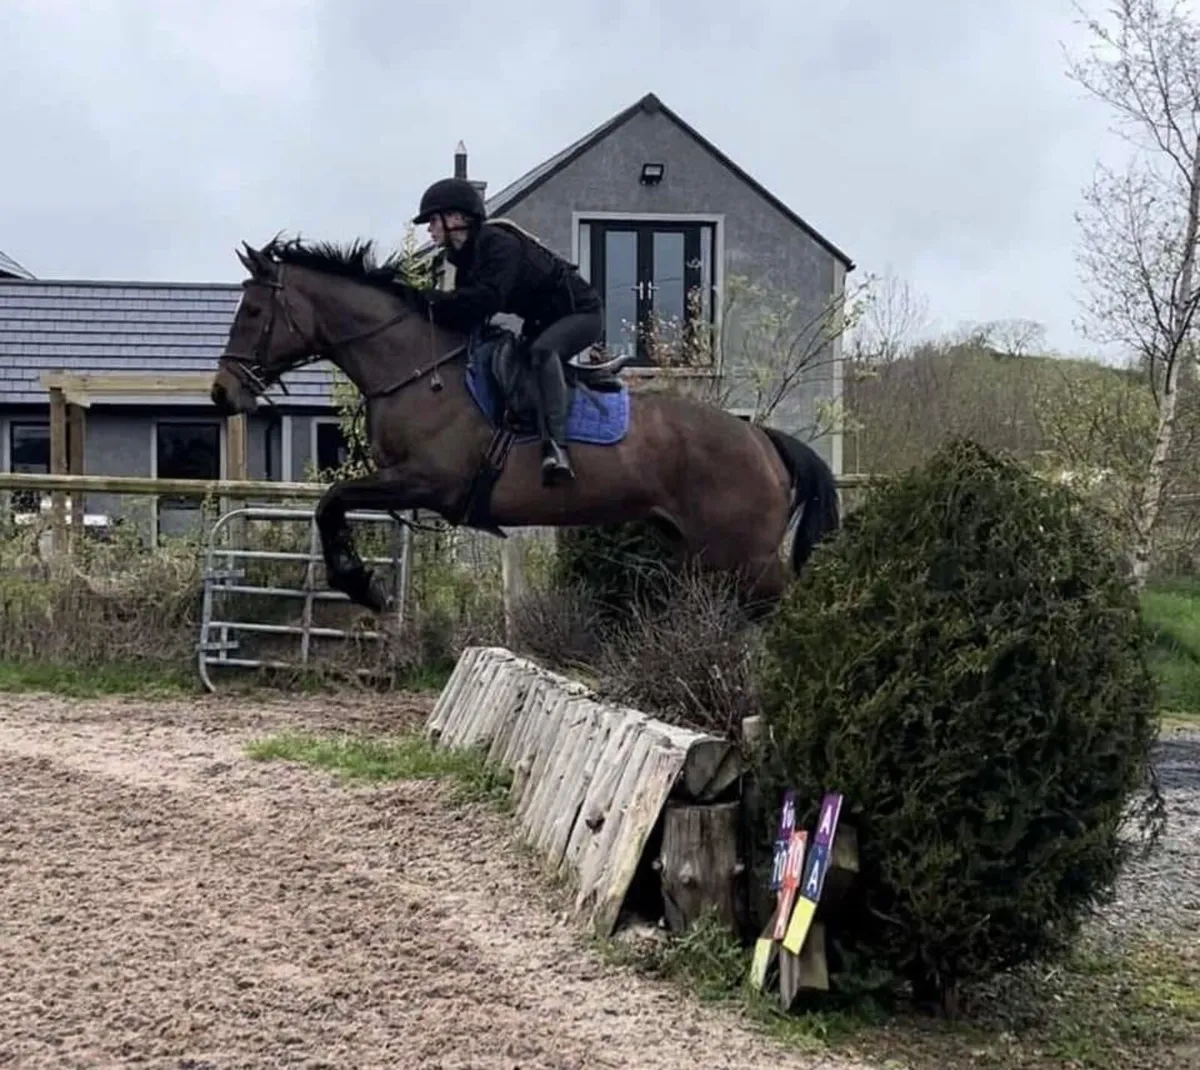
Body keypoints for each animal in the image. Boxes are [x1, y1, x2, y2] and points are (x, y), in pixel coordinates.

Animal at [209, 237, 840, 616]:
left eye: (254, 312)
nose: (221, 393)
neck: (416, 368)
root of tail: (760, 438)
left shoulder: (426, 482)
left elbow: (331, 502)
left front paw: (363, 585)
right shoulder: (404, 484)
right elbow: (332, 507)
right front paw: (364, 586)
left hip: (745, 555)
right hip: (703, 555)